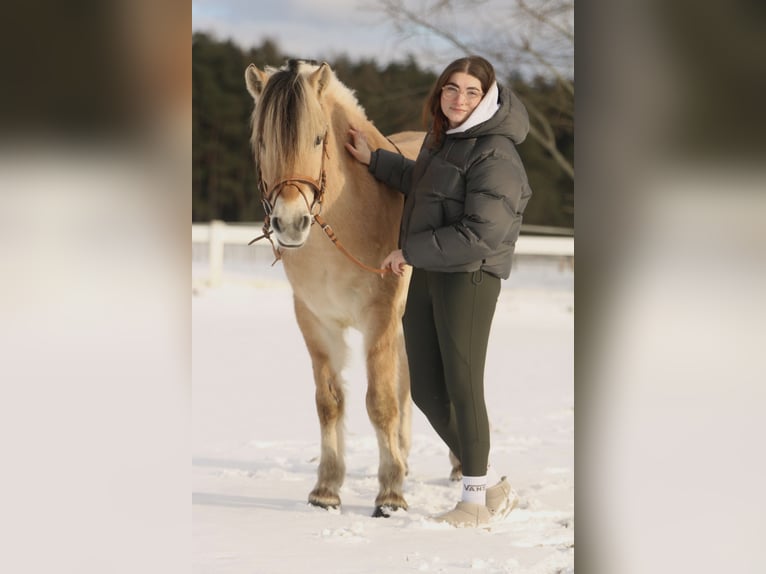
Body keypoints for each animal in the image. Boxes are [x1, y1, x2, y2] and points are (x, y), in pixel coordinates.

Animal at [244, 59, 424, 517]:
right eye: (262, 141)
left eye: (318, 138)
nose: (291, 224)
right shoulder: (315, 322)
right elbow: (329, 403)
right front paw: (325, 490)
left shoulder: (379, 319)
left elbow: (379, 402)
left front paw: (390, 496)